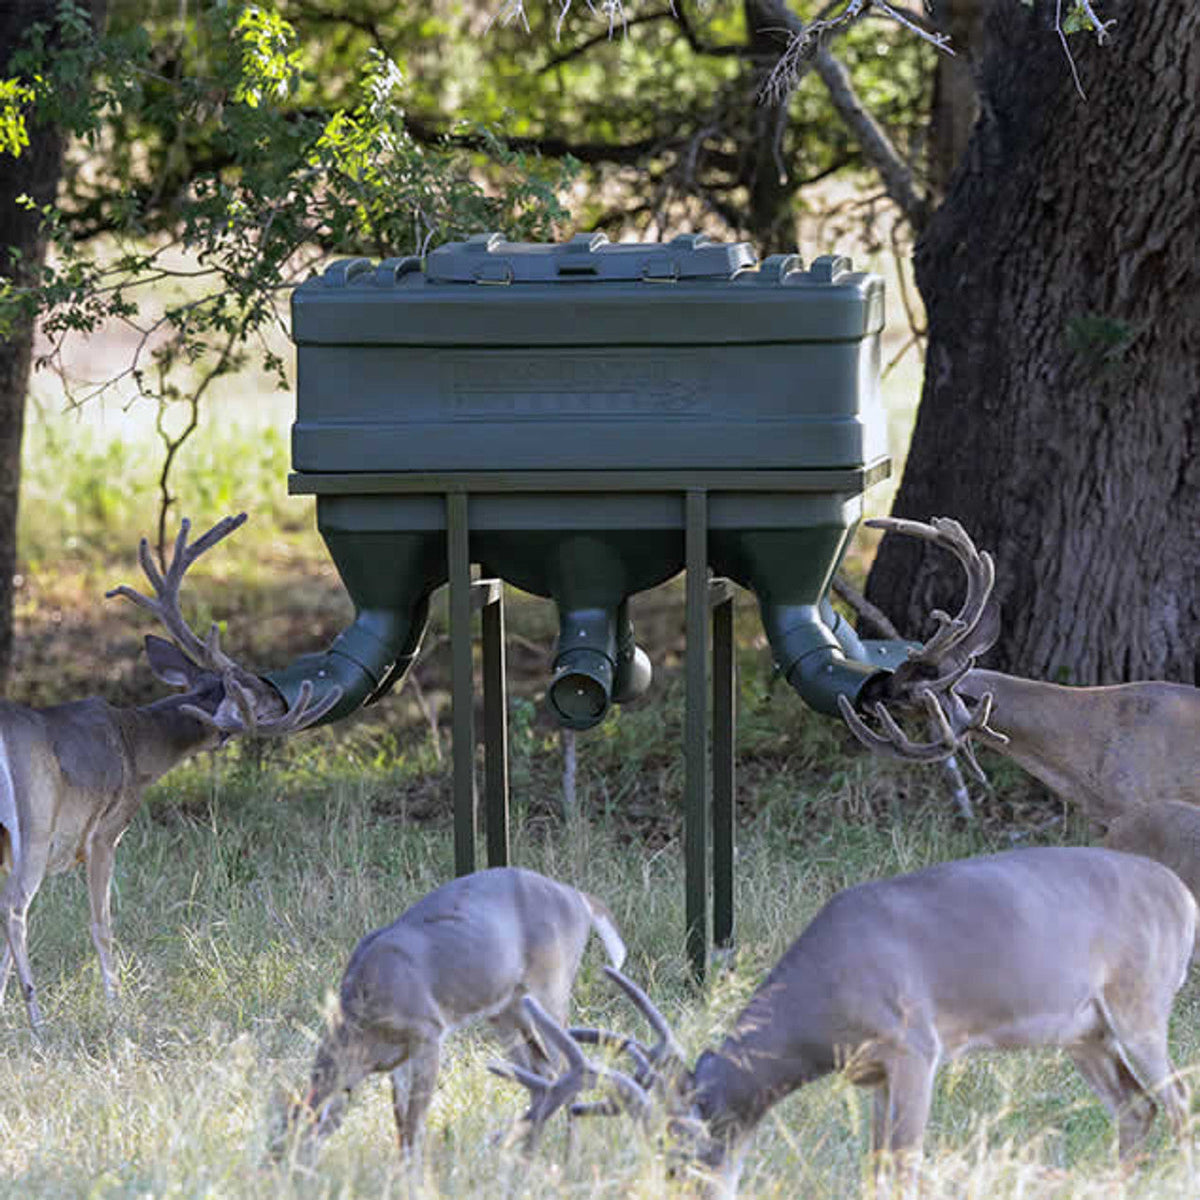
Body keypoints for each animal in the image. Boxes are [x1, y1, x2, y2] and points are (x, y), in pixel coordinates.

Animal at [0, 513, 339, 1035]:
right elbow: (102, 924)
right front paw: (116, 1004)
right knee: (15, 906)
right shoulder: (105, 832)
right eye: (253, 690)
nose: (281, 696)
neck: (136, 745)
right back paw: (38, 1020)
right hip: (36, 824)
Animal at [271, 865, 628, 1177]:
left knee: (567, 1067)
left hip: (552, 986)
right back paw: (526, 1155)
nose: (276, 1177)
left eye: (295, 1149)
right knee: (542, 1073)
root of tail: (576, 897)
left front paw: (411, 1178)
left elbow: (414, 1121)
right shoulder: (399, 1058)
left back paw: (569, 1158)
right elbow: (399, 1118)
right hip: (506, 1009)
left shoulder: (428, 1032)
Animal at [495, 846, 1196, 1197]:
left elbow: (906, 1164)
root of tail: (1184, 897)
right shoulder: (874, 1074)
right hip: (1085, 1033)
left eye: (687, 1156)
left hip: (1139, 1003)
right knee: (1136, 1108)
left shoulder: (916, 1046)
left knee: (1179, 1103)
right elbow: (876, 1166)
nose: (688, 1190)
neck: (823, 1001)